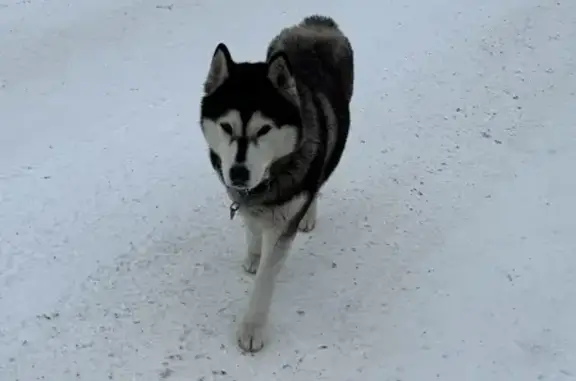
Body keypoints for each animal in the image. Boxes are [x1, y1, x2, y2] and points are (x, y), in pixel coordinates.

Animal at [199, 16, 356, 352]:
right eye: (227, 126)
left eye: (264, 129)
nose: (238, 173)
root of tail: (318, 22)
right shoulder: (243, 197)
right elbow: (250, 224)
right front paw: (254, 253)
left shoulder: (282, 223)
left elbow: (266, 279)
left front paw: (253, 328)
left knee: (318, 179)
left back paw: (308, 213)